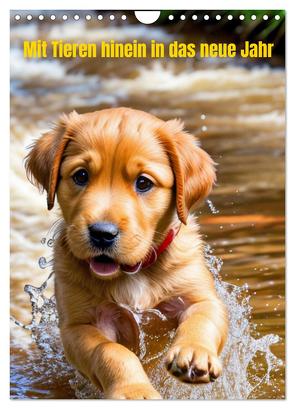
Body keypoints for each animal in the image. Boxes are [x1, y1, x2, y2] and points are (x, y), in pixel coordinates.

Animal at [25, 107, 229, 396]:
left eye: (143, 183)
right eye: (81, 176)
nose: (102, 233)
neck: (133, 272)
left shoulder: (199, 297)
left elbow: (201, 319)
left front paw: (193, 353)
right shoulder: (79, 326)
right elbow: (111, 351)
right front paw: (134, 390)